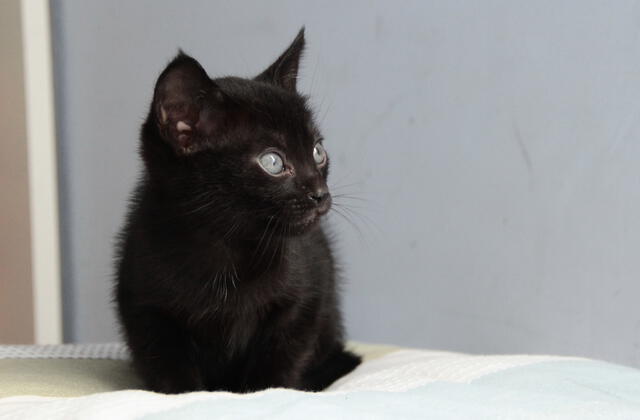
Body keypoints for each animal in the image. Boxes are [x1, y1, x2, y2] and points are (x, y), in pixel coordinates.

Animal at [114, 29, 360, 394]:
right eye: (273, 162)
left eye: (318, 152)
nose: (321, 194)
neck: (227, 245)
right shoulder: (146, 308)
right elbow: (169, 367)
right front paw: (188, 394)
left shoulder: (304, 298)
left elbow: (280, 357)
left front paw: (264, 392)